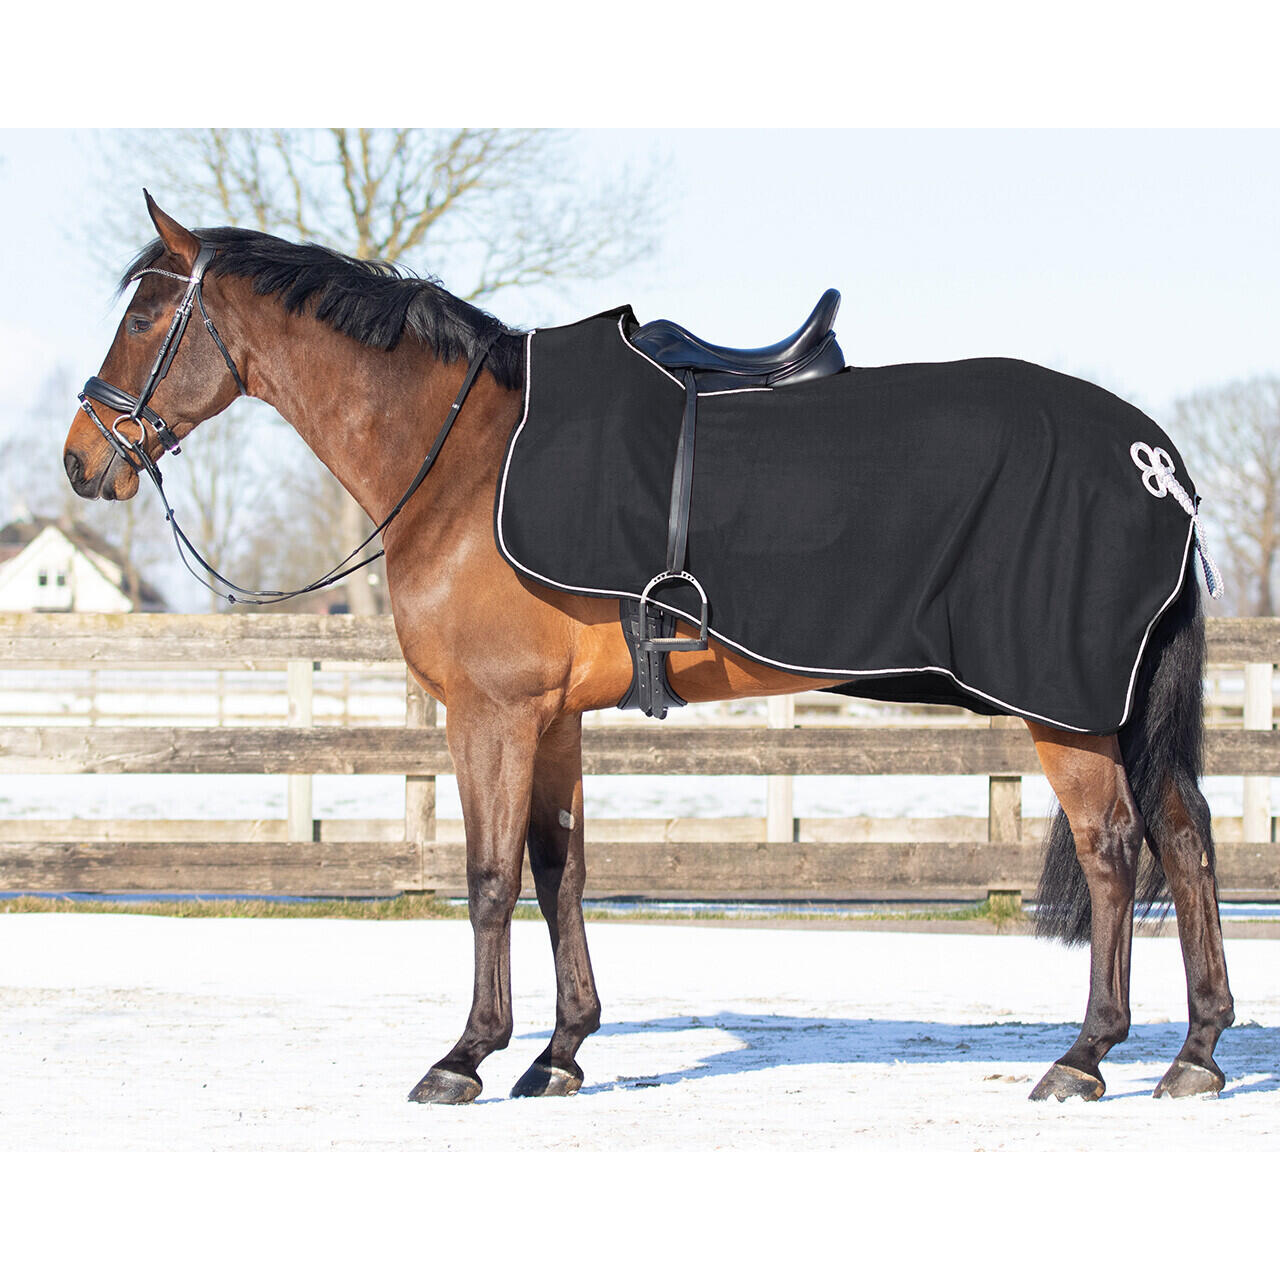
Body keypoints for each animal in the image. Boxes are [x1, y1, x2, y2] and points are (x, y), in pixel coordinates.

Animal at [62, 193, 1235, 1106]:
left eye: (148, 313)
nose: (82, 459)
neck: (463, 456)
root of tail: (1153, 457)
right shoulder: (552, 718)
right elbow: (561, 870)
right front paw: (560, 1052)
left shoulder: (490, 712)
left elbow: (489, 876)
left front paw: (466, 1055)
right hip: (1117, 704)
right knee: (1183, 836)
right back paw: (1196, 1051)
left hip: (1065, 704)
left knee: (1113, 848)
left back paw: (1084, 1057)